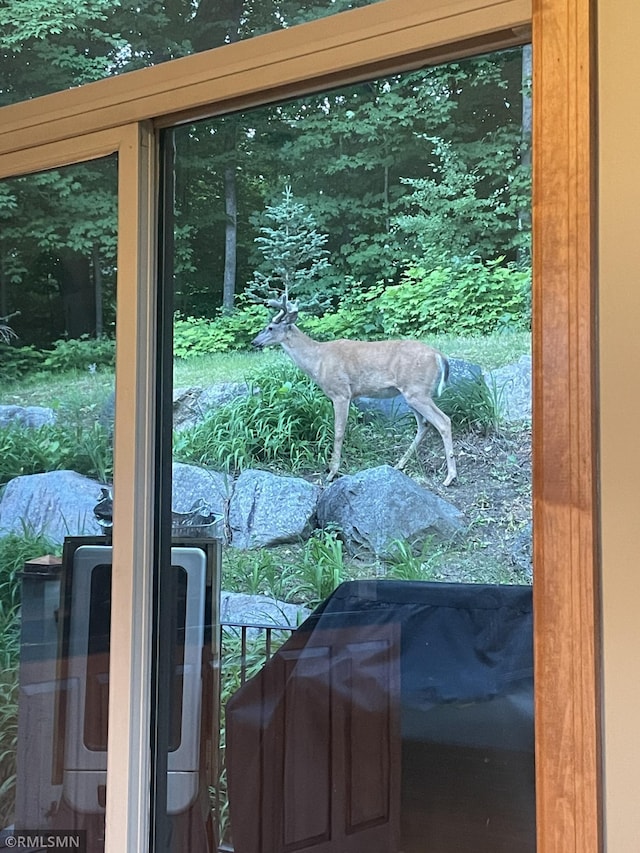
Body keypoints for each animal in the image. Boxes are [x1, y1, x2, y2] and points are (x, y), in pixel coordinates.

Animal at [249, 296, 456, 486]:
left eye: (270, 327)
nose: (254, 342)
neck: (318, 361)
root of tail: (439, 355)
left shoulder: (341, 393)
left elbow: (338, 431)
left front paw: (332, 472)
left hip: (417, 391)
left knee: (443, 421)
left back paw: (449, 477)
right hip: (411, 394)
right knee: (424, 425)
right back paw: (400, 464)